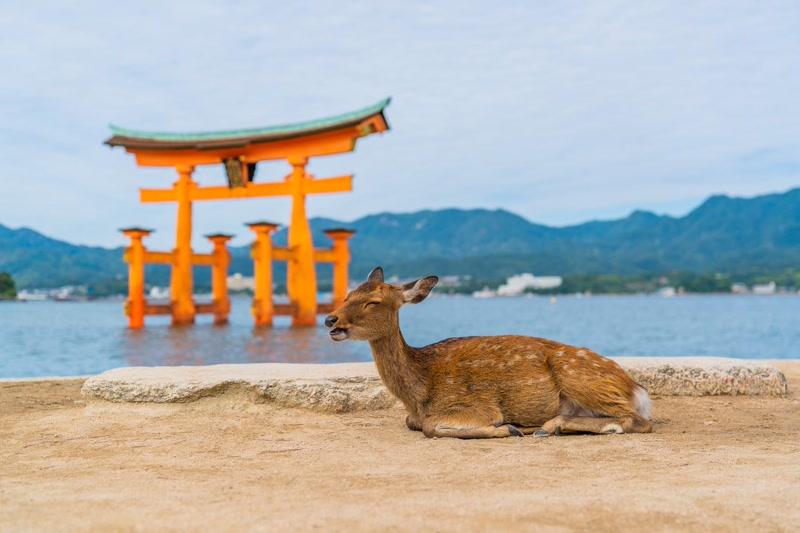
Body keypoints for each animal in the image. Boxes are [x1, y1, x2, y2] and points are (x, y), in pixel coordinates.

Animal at [324, 267, 653, 439]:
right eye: (348, 295)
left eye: (373, 302)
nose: (331, 320)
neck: (418, 393)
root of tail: (636, 389)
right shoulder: (413, 415)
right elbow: (413, 422)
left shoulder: (477, 405)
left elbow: (431, 426)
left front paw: (507, 428)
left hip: (579, 375)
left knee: (638, 421)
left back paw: (548, 427)